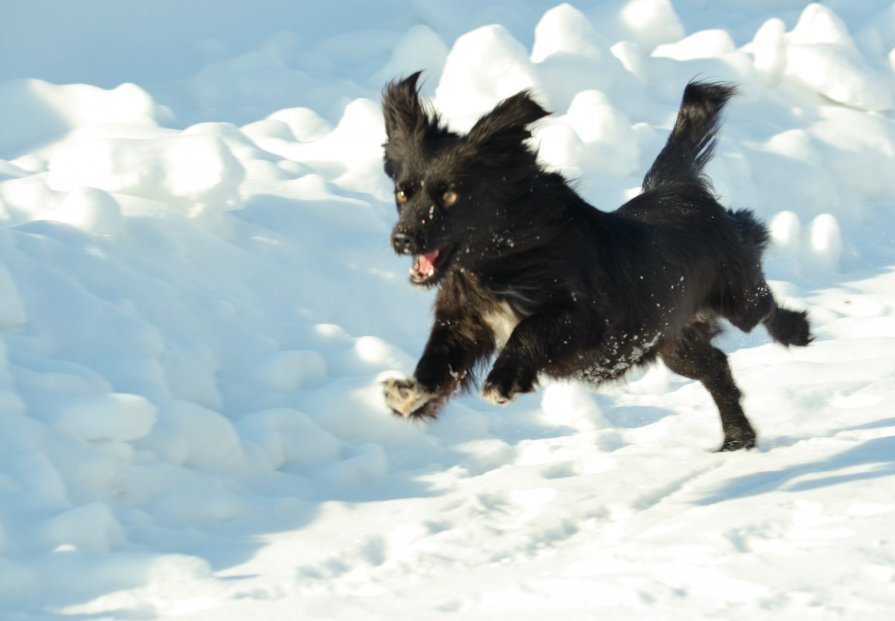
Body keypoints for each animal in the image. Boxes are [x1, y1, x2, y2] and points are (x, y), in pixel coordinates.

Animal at [378, 74, 812, 450]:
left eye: (450, 196)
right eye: (402, 192)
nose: (401, 239)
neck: (501, 260)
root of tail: (676, 188)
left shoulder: (589, 318)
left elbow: (529, 329)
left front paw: (503, 381)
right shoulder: (463, 325)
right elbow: (437, 364)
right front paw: (408, 394)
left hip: (736, 298)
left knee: (757, 274)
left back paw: (797, 330)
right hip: (673, 340)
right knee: (715, 366)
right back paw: (738, 438)